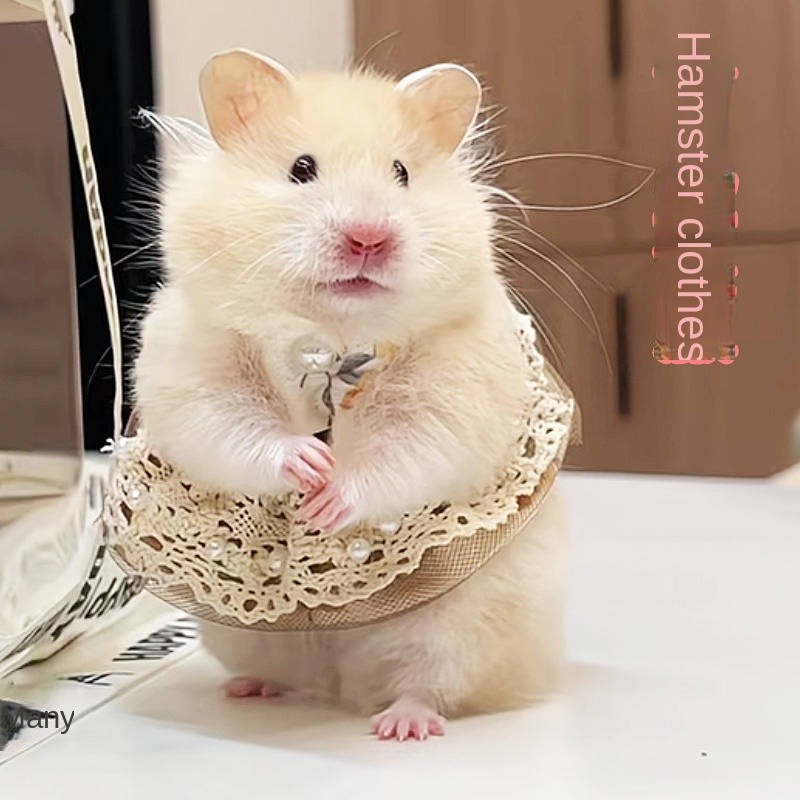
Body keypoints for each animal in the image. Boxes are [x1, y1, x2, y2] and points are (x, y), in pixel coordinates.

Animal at [135, 49, 567, 741]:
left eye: (402, 174)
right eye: (300, 169)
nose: (369, 238)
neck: (332, 337)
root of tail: (342, 679)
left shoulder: (452, 395)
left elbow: (402, 454)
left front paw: (327, 499)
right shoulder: (196, 372)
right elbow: (236, 430)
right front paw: (309, 464)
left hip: (464, 625)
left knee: (428, 683)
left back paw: (402, 724)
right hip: (246, 633)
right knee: (285, 672)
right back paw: (249, 690)